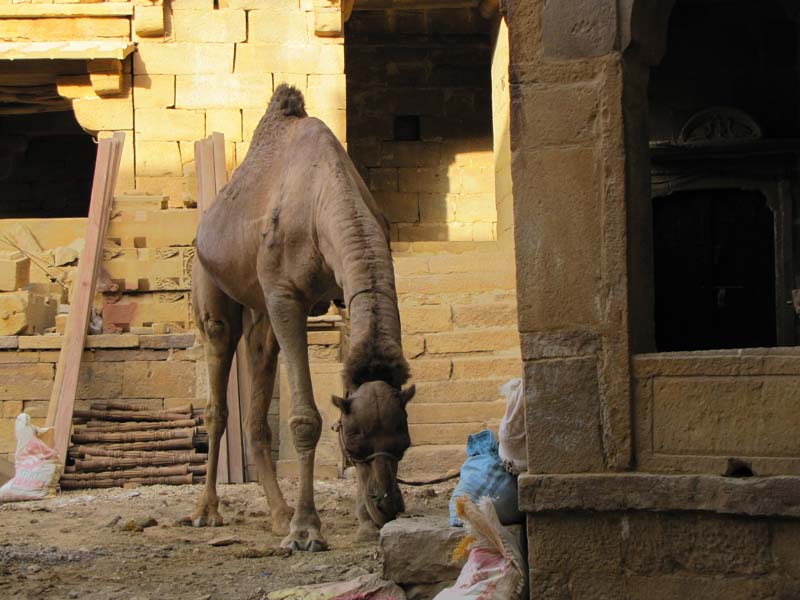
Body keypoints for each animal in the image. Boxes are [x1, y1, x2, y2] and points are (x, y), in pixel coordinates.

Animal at [191, 85, 416, 552]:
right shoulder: (285, 296)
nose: (387, 505)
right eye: (355, 442)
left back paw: (278, 515)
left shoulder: (343, 294)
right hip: (211, 284)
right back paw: (208, 511)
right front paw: (306, 530)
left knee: (258, 388)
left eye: (403, 441)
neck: (322, 203)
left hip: (260, 313)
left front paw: (363, 525)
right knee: (217, 391)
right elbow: (304, 419)